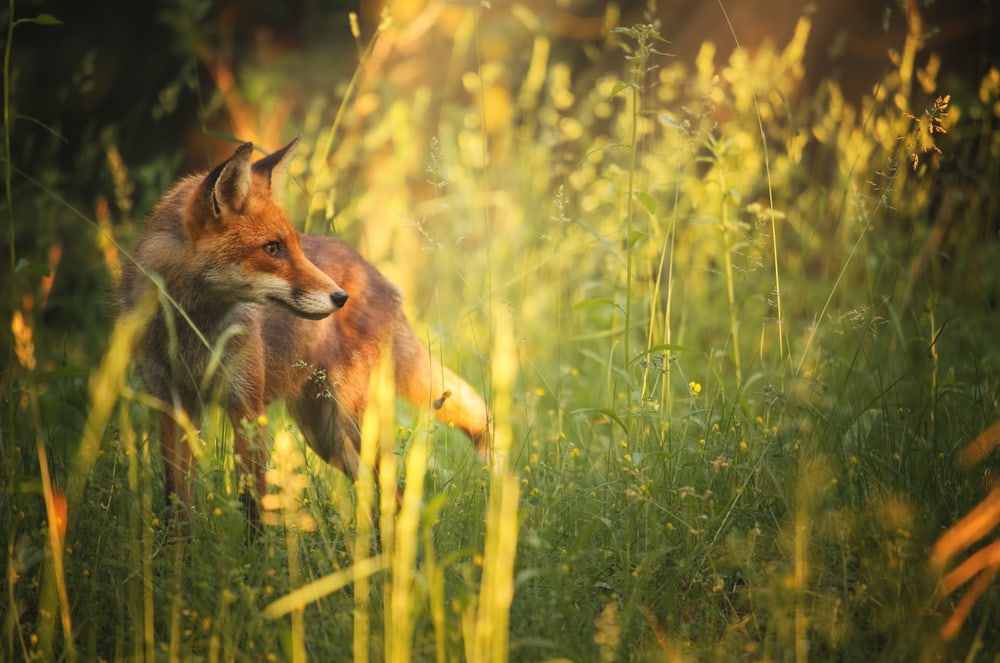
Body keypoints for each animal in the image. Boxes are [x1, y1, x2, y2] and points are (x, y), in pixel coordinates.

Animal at [118, 138, 490, 526]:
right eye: (272, 248)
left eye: (294, 245)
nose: (340, 297)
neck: (192, 331)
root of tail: (375, 274)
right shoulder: (172, 404)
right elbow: (177, 506)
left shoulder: (247, 406)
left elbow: (254, 506)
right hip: (325, 436)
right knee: (373, 494)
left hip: (354, 423)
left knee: (394, 491)